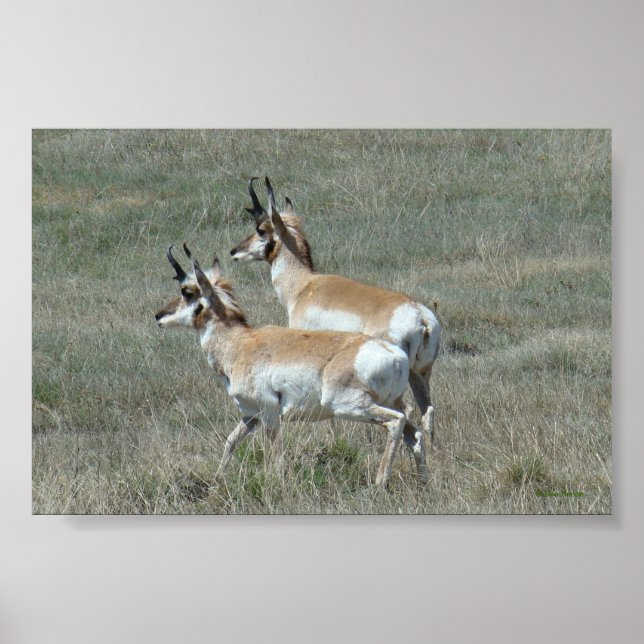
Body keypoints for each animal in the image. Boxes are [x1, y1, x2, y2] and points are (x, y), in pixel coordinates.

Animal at [154, 244, 429, 486]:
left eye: (187, 292)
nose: (158, 315)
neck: (240, 344)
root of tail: (395, 354)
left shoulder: (270, 413)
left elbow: (276, 456)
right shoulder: (251, 415)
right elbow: (230, 441)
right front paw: (219, 477)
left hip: (349, 406)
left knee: (395, 422)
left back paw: (380, 482)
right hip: (385, 403)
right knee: (414, 434)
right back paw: (423, 483)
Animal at [230, 177, 441, 455]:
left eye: (261, 229)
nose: (234, 251)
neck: (304, 285)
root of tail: (419, 315)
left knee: (405, 411)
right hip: (420, 374)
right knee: (428, 411)